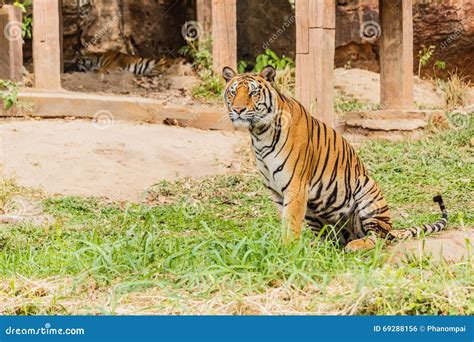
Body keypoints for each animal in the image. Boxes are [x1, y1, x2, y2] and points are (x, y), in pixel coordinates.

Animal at [222, 65, 448, 251]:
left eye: (253, 92)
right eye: (233, 92)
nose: (238, 109)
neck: (260, 133)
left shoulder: (296, 187)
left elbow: (291, 222)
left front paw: (287, 251)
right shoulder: (276, 192)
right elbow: (285, 221)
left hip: (368, 192)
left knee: (377, 237)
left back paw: (356, 245)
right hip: (315, 213)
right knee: (332, 239)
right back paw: (318, 247)